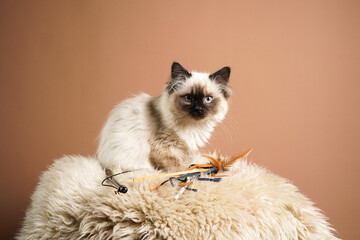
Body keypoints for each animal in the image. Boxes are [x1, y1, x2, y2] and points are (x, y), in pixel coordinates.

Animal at [96, 62, 231, 172]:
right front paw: (185, 171)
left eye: (207, 99)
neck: (193, 125)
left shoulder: (184, 149)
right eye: (188, 98)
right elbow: (176, 165)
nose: (198, 109)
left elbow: (188, 160)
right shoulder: (162, 147)